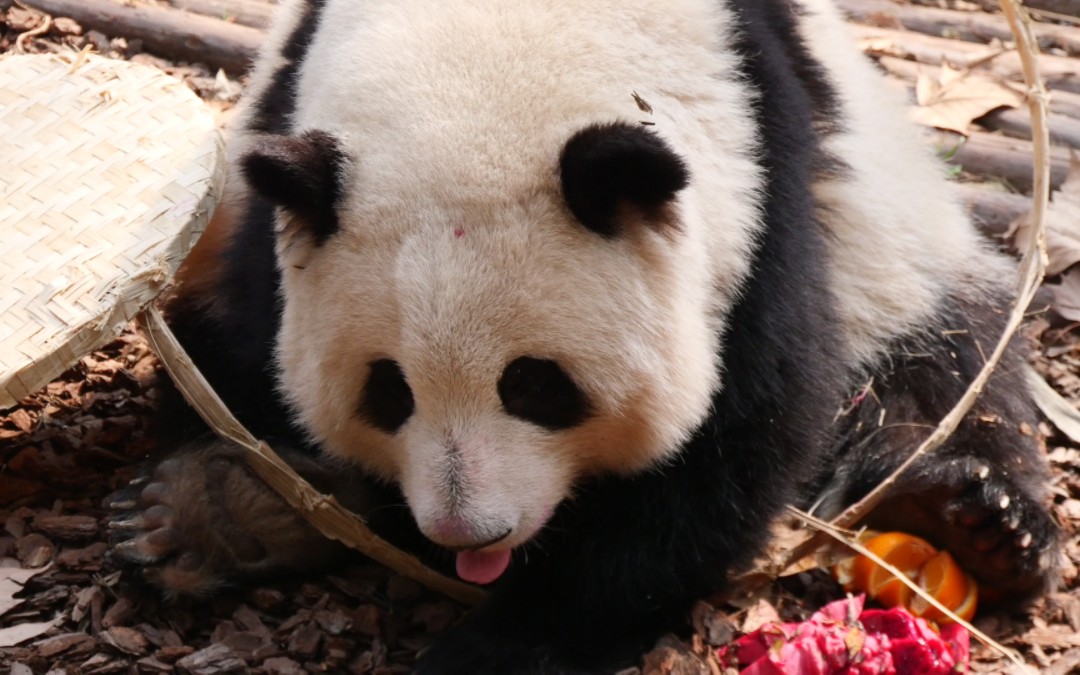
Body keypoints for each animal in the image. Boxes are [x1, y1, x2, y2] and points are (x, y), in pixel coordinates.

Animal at [111, 0, 1062, 669]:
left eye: (536, 384)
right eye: (388, 389)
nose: (470, 532)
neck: (481, 50)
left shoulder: (761, 174)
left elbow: (738, 433)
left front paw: (503, 647)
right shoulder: (274, 179)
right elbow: (248, 351)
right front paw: (252, 500)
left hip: (898, 243)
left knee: (954, 360)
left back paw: (980, 516)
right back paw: (213, 511)